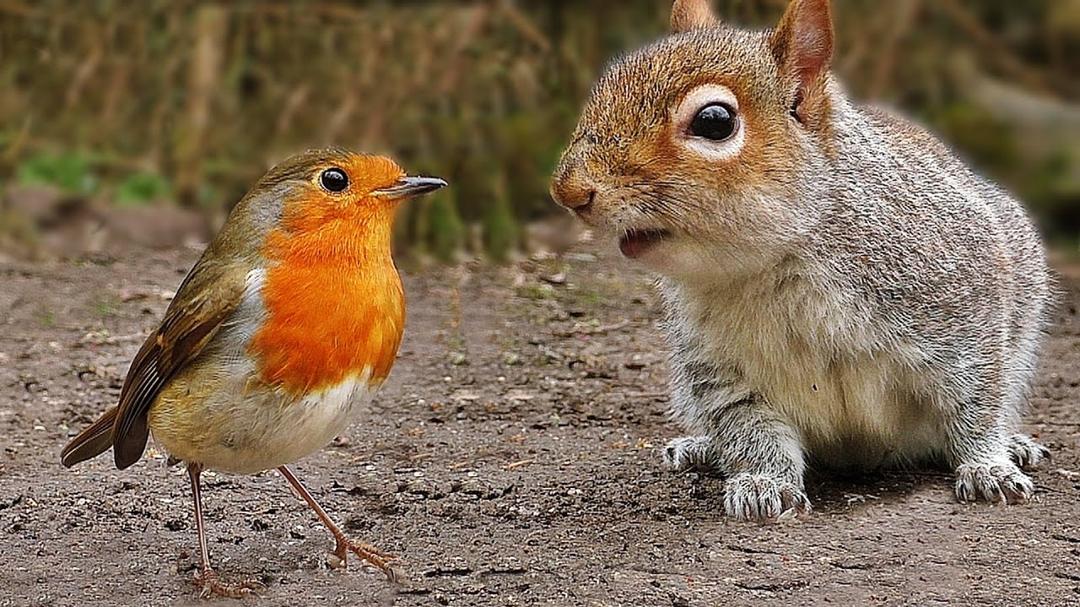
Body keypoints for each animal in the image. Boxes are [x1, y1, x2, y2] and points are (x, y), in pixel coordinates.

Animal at [550, 0, 1052, 521]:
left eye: (714, 121)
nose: (568, 191)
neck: (773, 264)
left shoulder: (958, 302)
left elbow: (976, 401)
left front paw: (987, 465)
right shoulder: (720, 367)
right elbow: (749, 429)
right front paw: (762, 483)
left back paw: (1014, 445)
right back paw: (702, 447)